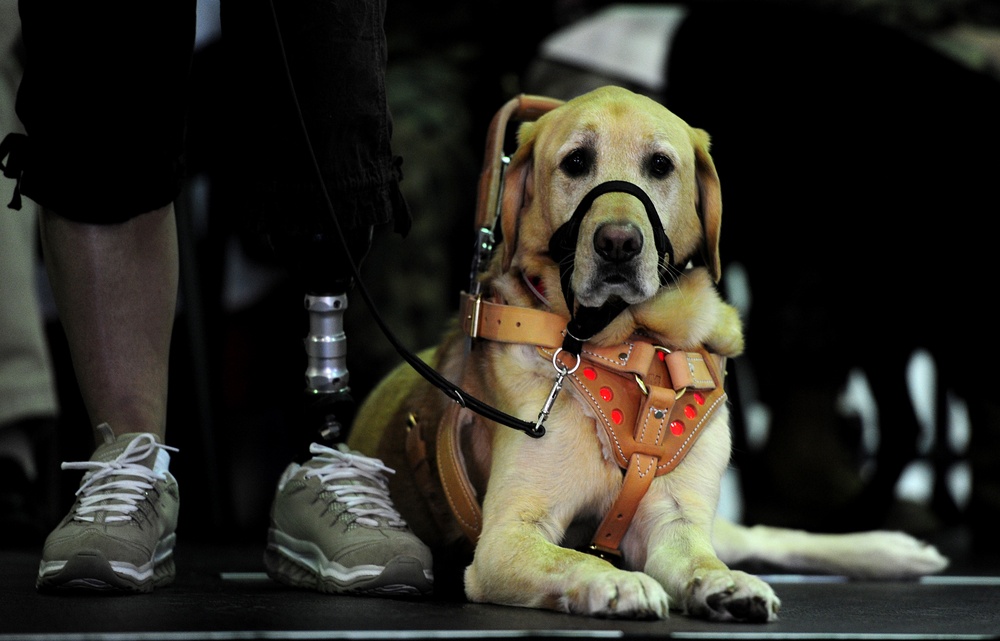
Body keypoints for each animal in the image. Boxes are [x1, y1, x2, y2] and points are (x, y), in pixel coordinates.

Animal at [348, 85, 948, 620]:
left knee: (756, 534)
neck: (633, 350)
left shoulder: (674, 519)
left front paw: (724, 584)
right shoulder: (506, 537)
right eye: (575, 162)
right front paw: (618, 584)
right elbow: (576, 557)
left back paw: (890, 551)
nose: (618, 243)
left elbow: (702, 559)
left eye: (660, 165)